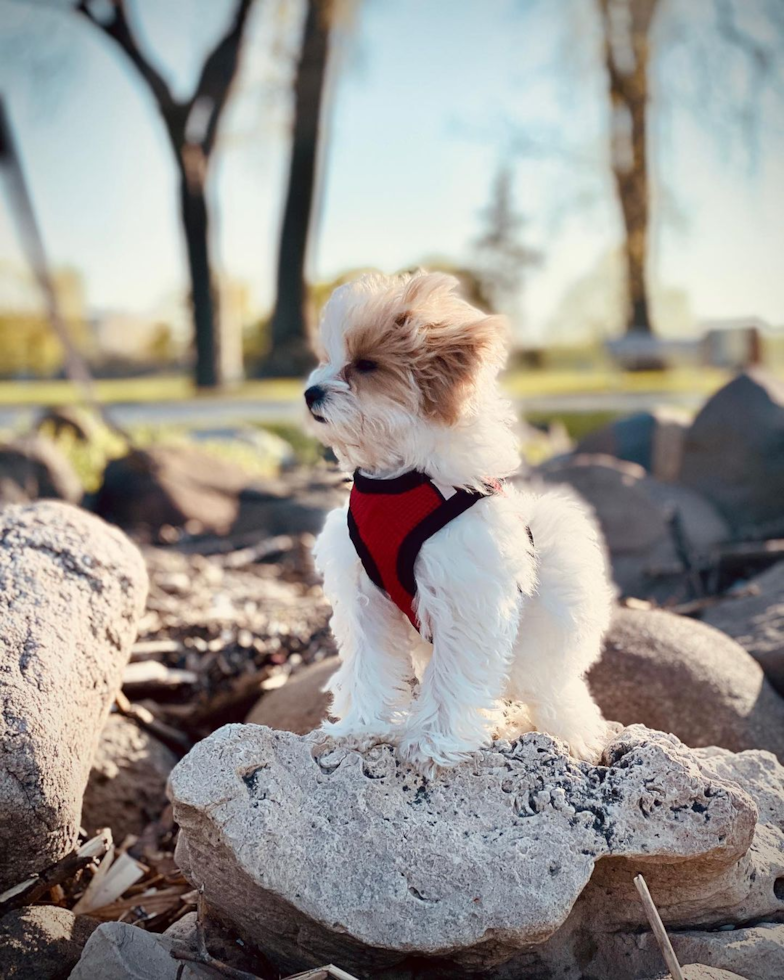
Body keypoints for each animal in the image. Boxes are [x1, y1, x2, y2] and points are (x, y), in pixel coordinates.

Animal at [304, 270, 616, 772]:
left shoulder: (464, 594)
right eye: (329, 359)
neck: (400, 475)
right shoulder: (366, 596)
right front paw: (360, 728)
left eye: (367, 365)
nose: (310, 393)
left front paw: (432, 743)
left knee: (555, 693)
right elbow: (370, 665)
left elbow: (452, 675)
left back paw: (575, 736)